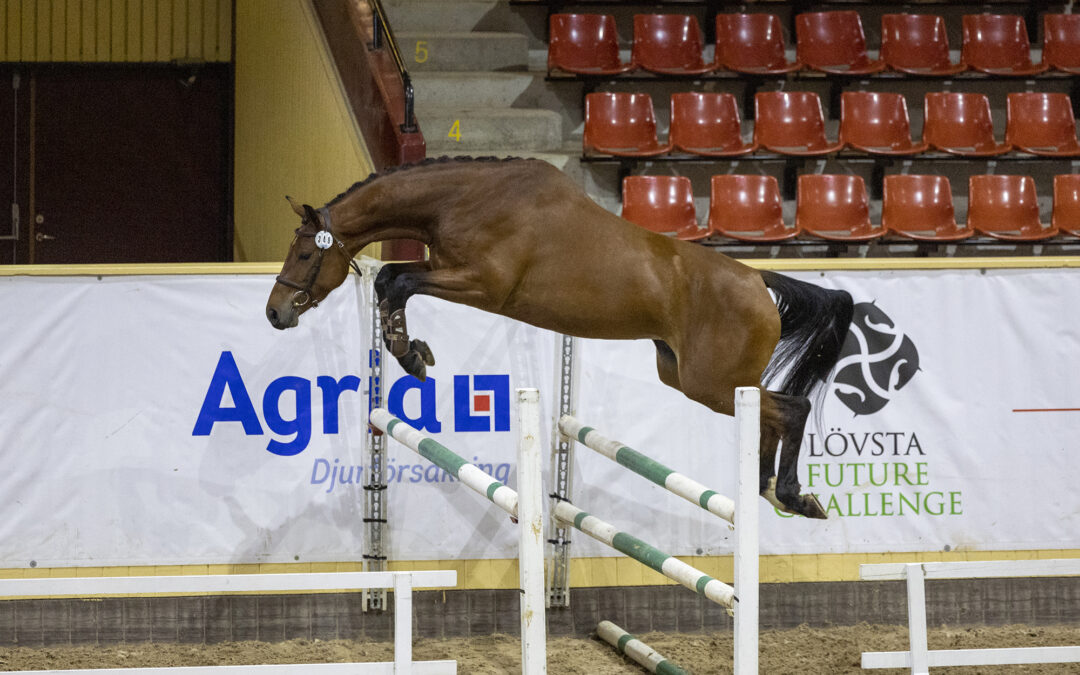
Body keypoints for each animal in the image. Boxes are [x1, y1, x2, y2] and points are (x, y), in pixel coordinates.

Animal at [263, 156, 851, 516]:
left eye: (306, 253)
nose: (274, 313)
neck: (464, 199)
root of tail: (758, 279)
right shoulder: (447, 269)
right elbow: (390, 279)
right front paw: (412, 351)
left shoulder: (481, 284)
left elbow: (399, 281)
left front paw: (410, 355)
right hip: (689, 377)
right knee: (770, 414)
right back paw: (771, 491)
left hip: (713, 383)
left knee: (790, 408)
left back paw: (792, 494)